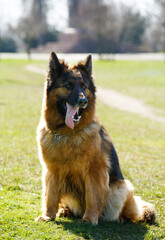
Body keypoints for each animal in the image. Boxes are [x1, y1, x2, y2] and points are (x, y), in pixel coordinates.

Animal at [36, 52, 156, 225]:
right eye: (69, 86)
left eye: (84, 87)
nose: (83, 101)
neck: (68, 133)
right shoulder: (51, 171)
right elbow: (50, 196)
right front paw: (47, 215)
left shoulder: (95, 172)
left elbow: (92, 197)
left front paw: (89, 219)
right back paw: (64, 210)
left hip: (122, 188)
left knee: (128, 212)